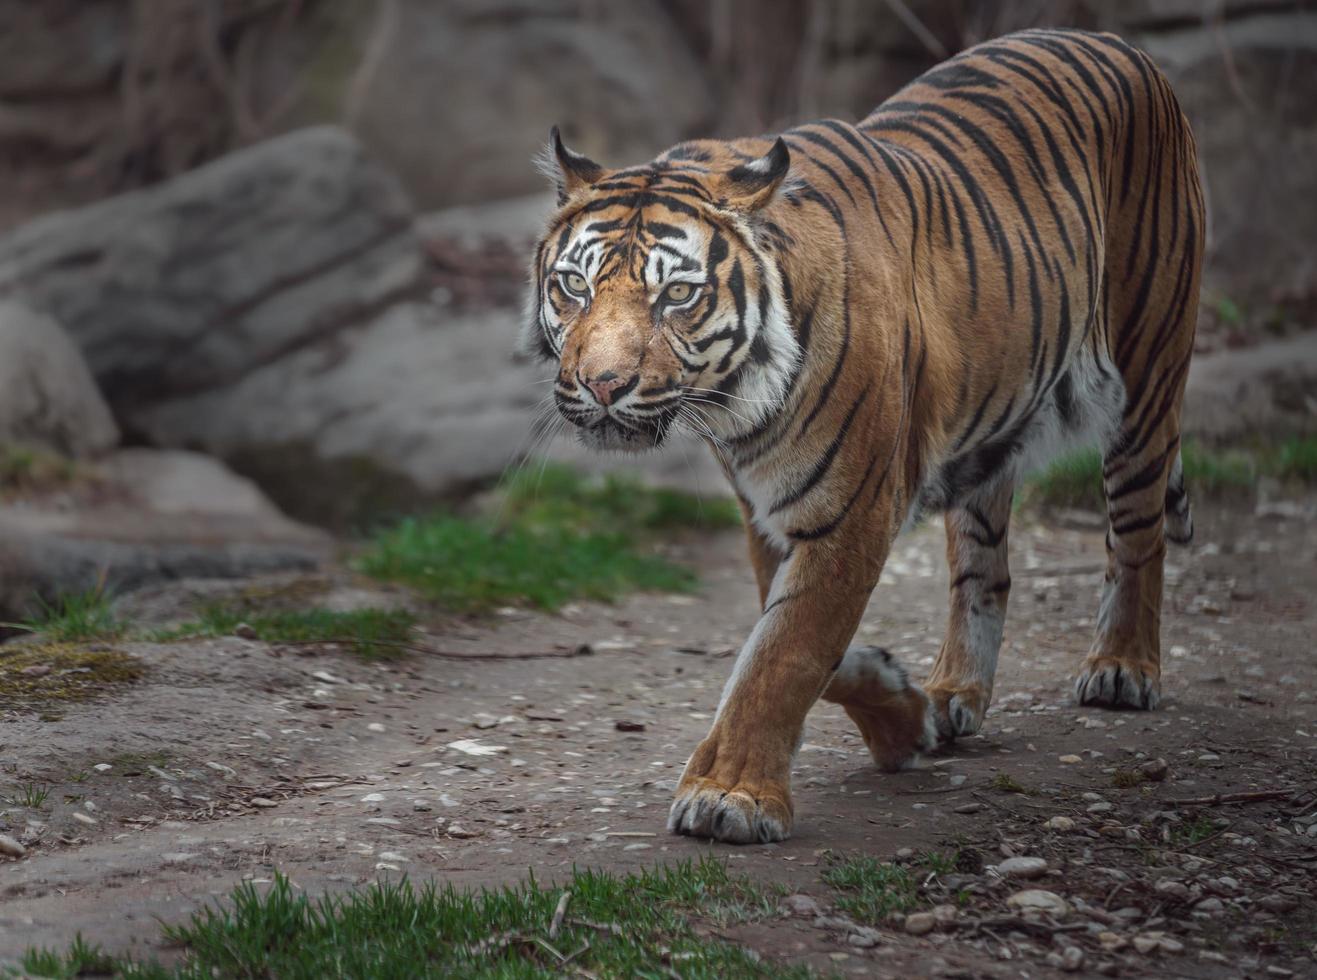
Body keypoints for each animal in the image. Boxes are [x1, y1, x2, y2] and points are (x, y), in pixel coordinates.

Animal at [521, 28, 1206, 843]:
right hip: (992, 431)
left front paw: (730, 796)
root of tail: (1118, 45)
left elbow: (784, 656)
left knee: (1137, 533)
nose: (603, 384)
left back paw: (1122, 669)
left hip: (1147, 371)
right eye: (574, 286)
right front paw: (903, 717)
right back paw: (953, 693)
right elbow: (805, 645)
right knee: (983, 568)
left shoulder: (850, 512)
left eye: (677, 294)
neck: (736, 404)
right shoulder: (770, 516)